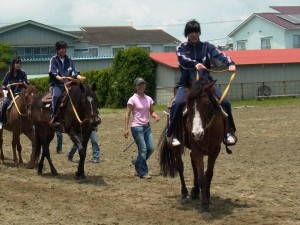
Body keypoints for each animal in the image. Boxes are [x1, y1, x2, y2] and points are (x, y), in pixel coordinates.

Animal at [159, 79, 232, 216]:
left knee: (193, 164)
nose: (197, 134)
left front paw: (207, 197)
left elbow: (208, 174)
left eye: (207, 104)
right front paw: (205, 207)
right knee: (180, 167)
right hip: (177, 148)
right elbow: (202, 177)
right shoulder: (197, 149)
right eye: (188, 105)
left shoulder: (215, 150)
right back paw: (185, 194)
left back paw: (195, 190)